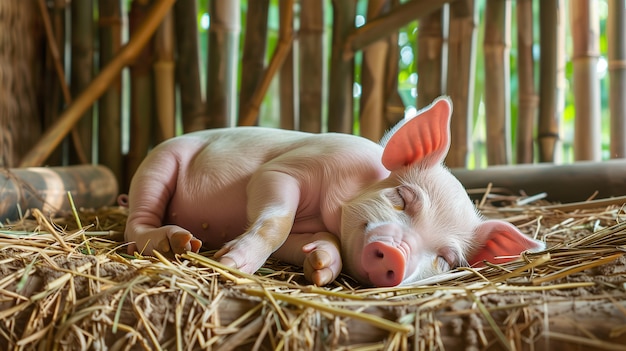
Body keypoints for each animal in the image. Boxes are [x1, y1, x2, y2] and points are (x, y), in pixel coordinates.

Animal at [123, 97, 540, 288]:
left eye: (447, 260)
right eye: (402, 198)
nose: (397, 255)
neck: (328, 213)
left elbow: (306, 242)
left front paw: (321, 268)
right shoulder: (283, 170)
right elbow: (277, 217)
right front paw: (232, 264)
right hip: (159, 163)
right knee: (134, 226)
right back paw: (180, 243)